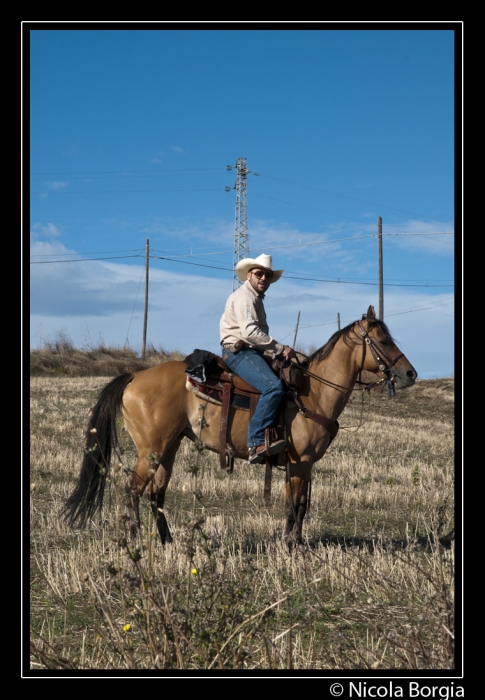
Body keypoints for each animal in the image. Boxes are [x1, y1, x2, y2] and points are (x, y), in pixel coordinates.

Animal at [63, 306, 416, 548]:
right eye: (383, 340)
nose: (410, 374)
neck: (313, 393)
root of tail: (134, 376)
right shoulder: (300, 462)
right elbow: (294, 507)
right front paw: (292, 547)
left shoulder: (301, 464)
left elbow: (299, 506)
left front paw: (294, 543)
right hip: (152, 449)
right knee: (132, 490)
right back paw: (136, 539)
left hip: (168, 448)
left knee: (155, 494)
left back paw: (167, 542)